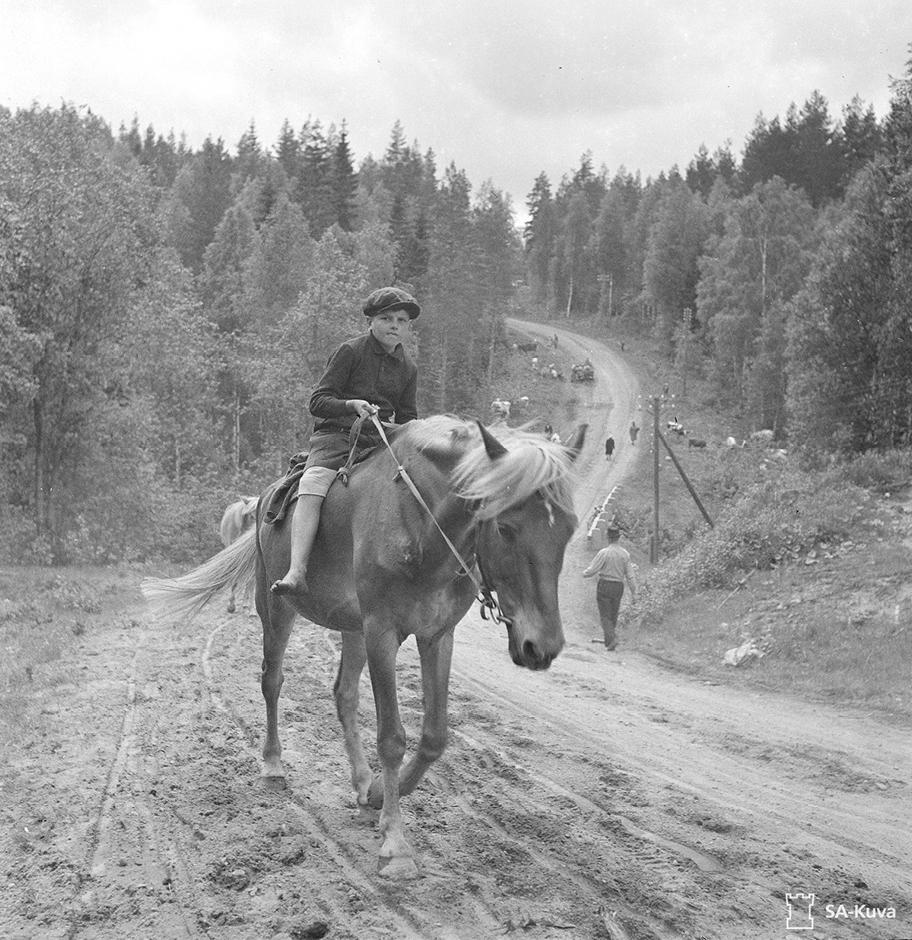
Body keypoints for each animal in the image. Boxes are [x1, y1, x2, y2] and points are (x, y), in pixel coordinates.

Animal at [142, 414, 584, 876]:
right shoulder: (382, 632)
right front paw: (396, 842)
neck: (421, 527)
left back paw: (360, 782)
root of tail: (262, 499)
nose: (541, 646)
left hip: (352, 629)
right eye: (505, 526)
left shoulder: (437, 636)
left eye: (569, 530)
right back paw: (273, 764)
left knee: (344, 694)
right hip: (277, 609)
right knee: (272, 681)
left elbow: (434, 736)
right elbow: (391, 737)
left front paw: (376, 796)